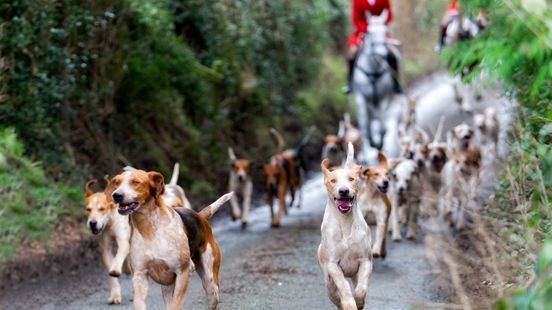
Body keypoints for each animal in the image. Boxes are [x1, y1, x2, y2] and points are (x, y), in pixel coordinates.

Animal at [106, 170, 233, 310]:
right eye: (117, 183)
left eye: (135, 182)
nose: (116, 195)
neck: (149, 228)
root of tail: (200, 216)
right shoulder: (140, 275)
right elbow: (139, 303)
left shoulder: (184, 271)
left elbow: (175, 305)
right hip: (167, 286)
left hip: (210, 283)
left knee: (212, 295)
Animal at [316, 143, 374, 310]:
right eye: (333, 181)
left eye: (351, 179)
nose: (343, 191)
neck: (345, 221)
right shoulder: (333, 265)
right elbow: (343, 285)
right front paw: (348, 304)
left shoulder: (365, 261)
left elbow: (361, 289)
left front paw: (359, 302)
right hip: (328, 279)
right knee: (333, 292)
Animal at [354, 12, 396, 153]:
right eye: (369, 32)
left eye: (385, 31)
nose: (382, 55)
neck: (373, 69)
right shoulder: (361, 98)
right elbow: (364, 123)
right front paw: (371, 142)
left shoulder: (382, 98)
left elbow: (382, 126)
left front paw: (379, 143)